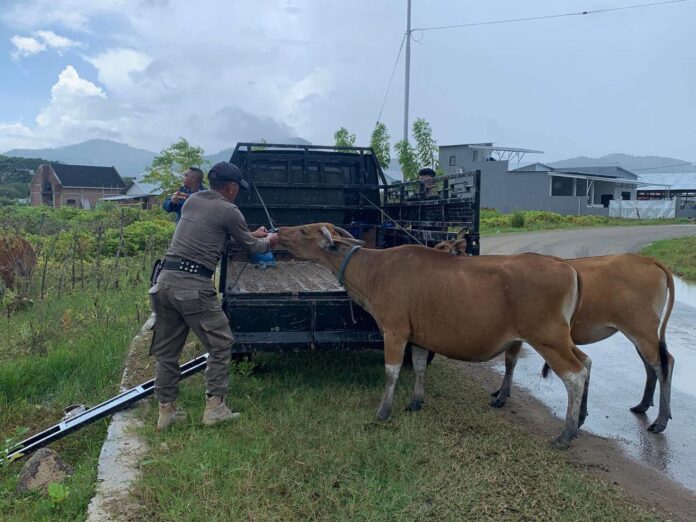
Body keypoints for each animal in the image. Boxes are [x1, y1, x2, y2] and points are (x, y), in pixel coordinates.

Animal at [278, 221, 588, 444]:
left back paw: (566, 433)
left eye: (303, 230)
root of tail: (566, 266)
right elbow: (418, 368)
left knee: (575, 375)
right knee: (585, 362)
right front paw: (416, 401)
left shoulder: (395, 331)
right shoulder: (418, 338)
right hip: (561, 338)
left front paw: (384, 411)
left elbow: (391, 372)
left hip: (548, 339)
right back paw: (579, 418)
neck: (375, 269)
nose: (279, 231)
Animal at [436, 237, 676, 430]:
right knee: (651, 365)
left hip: (642, 330)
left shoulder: (518, 335)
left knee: (664, 363)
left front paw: (501, 397)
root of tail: (649, 261)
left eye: (444, 248)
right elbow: (510, 363)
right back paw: (642, 405)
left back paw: (660, 421)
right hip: (639, 334)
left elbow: (510, 362)